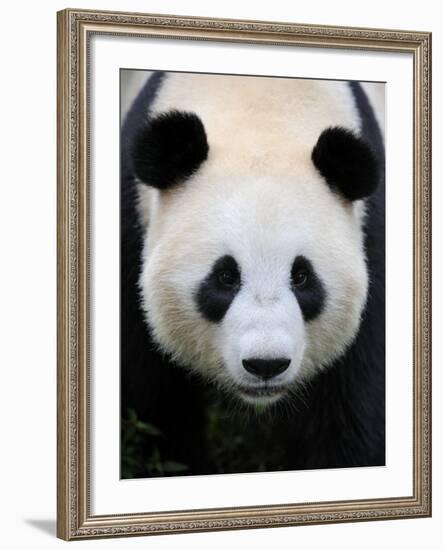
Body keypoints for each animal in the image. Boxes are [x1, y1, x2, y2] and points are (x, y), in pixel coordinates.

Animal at [120, 72, 386, 478]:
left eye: (302, 277)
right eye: (225, 277)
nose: (266, 364)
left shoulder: (371, 236)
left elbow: (349, 404)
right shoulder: (132, 226)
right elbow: (155, 398)